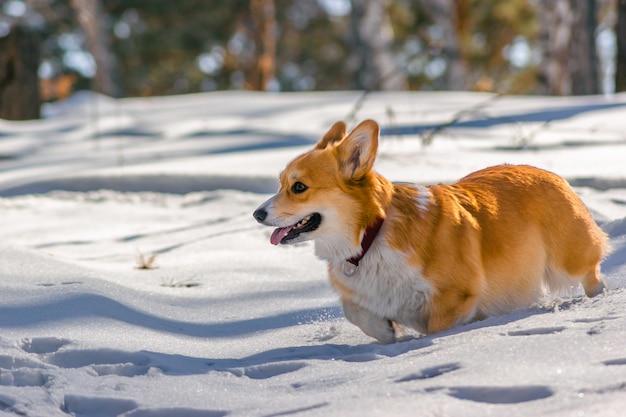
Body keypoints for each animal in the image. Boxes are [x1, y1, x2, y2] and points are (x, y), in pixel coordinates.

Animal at [251, 119, 608, 342]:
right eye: (281, 183)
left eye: (298, 187)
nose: (256, 214)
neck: (371, 235)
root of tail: (549, 173)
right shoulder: (360, 293)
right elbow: (353, 310)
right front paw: (385, 332)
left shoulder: (455, 297)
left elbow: (436, 328)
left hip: (568, 262)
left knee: (592, 274)